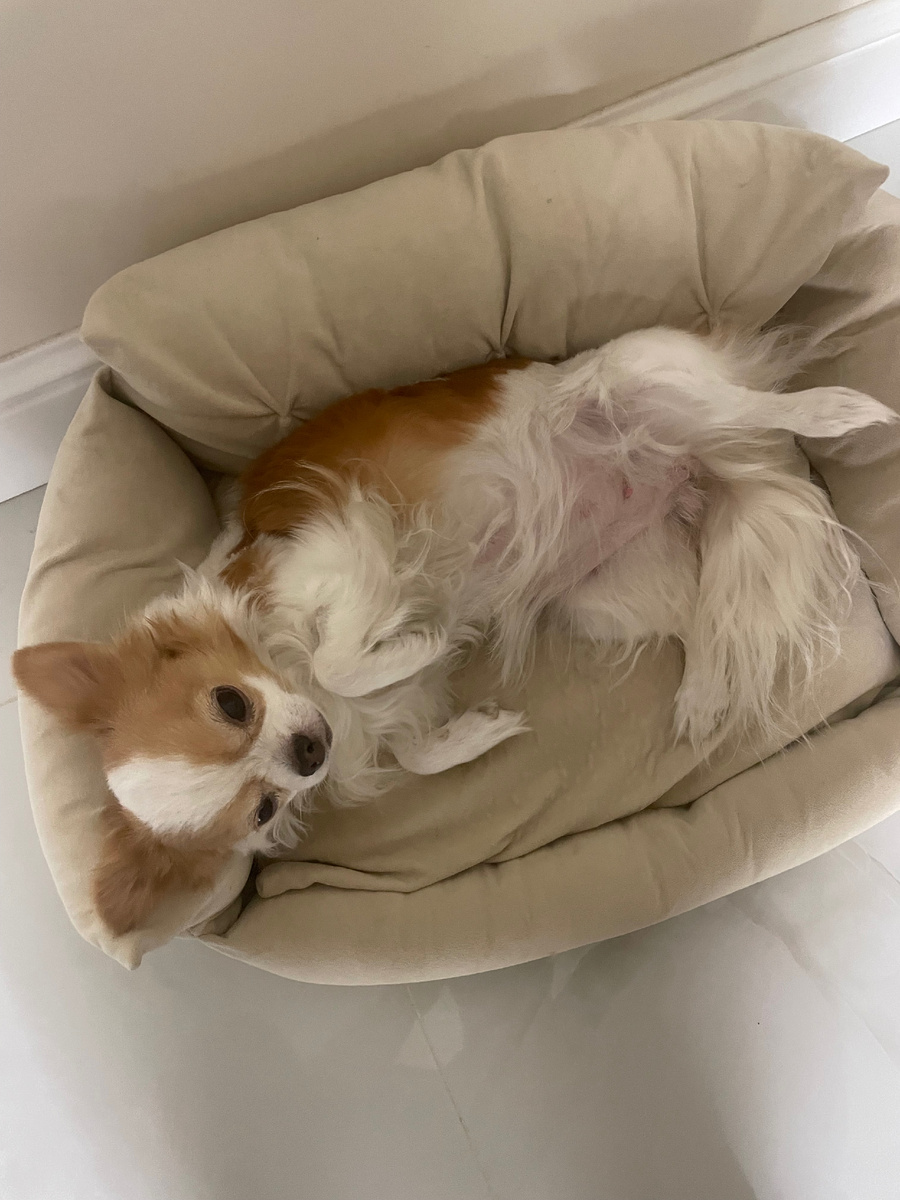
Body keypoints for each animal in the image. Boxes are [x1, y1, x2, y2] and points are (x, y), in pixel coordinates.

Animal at [14, 326, 895, 935]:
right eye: (260, 811)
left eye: (231, 703)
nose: (307, 750)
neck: (281, 665)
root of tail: (688, 461)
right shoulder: (391, 708)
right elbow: (413, 747)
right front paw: (476, 730)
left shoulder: (340, 545)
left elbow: (341, 661)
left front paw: (423, 639)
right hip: (603, 594)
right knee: (705, 616)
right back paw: (703, 697)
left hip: (640, 377)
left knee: (756, 405)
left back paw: (836, 409)